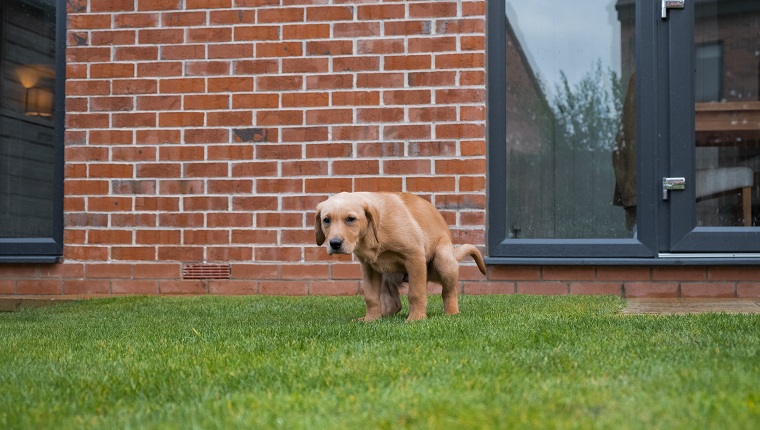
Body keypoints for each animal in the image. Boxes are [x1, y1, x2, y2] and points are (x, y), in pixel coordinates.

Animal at [314, 191, 486, 320]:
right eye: (326, 220)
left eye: (351, 219)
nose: (335, 243)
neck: (374, 231)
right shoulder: (368, 267)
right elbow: (371, 296)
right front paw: (370, 319)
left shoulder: (414, 257)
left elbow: (415, 294)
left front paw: (416, 319)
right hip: (385, 274)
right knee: (394, 304)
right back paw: (381, 317)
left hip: (443, 259)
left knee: (449, 291)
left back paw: (451, 313)